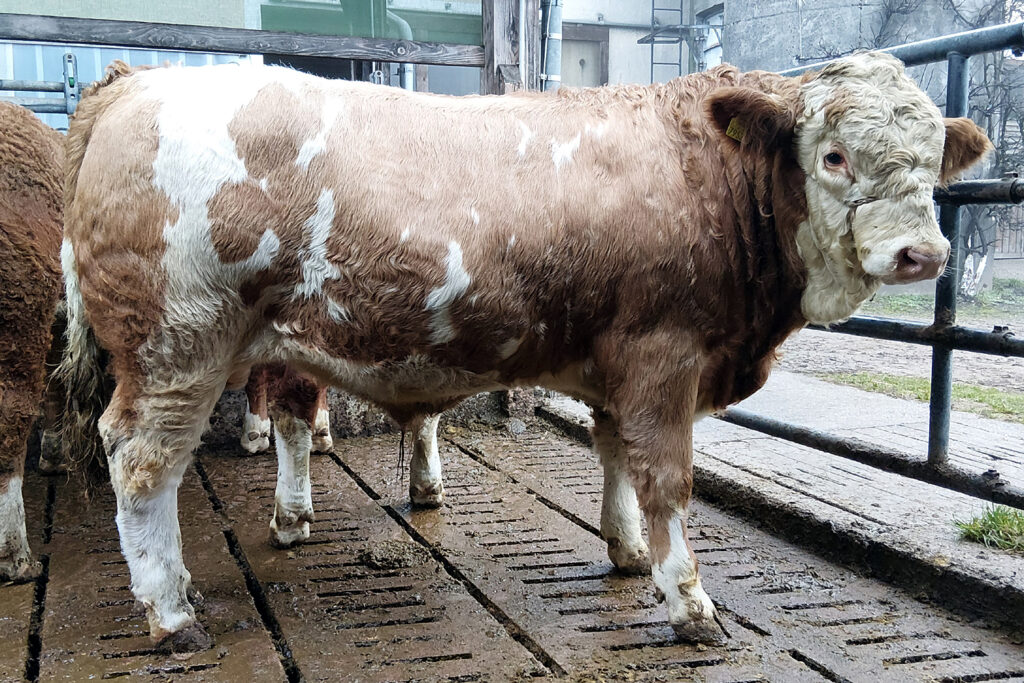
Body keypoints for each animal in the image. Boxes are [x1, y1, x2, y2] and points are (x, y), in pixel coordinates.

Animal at [59, 53, 989, 652]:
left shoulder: (617, 359)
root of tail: (138, 81)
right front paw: (689, 602)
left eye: (929, 164)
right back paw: (171, 613)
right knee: (141, 462)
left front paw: (625, 549)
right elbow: (665, 479)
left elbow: (612, 454)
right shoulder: (664, 355)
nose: (920, 252)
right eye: (834, 156)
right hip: (177, 344)